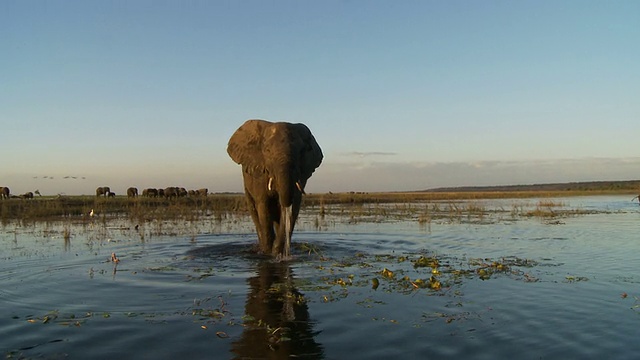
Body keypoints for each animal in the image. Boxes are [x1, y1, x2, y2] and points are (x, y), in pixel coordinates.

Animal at [228, 119, 322, 258]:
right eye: (267, 151)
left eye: (301, 152)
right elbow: (263, 205)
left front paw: (278, 254)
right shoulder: (259, 173)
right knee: (255, 213)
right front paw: (268, 253)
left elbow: (293, 207)